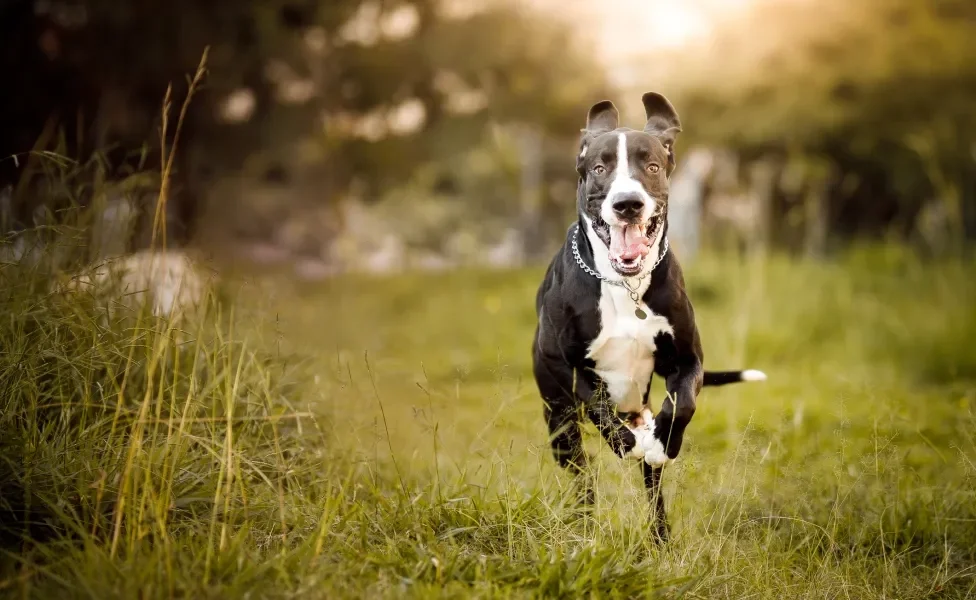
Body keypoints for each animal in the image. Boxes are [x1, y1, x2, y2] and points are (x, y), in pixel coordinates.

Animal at [528, 91, 768, 540]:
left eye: (652, 167)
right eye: (600, 168)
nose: (628, 204)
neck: (625, 287)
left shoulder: (687, 360)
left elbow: (682, 405)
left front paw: (663, 443)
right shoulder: (561, 363)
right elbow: (596, 403)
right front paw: (625, 443)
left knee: (652, 487)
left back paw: (660, 536)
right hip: (560, 425)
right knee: (582, 477)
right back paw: (584, 522)